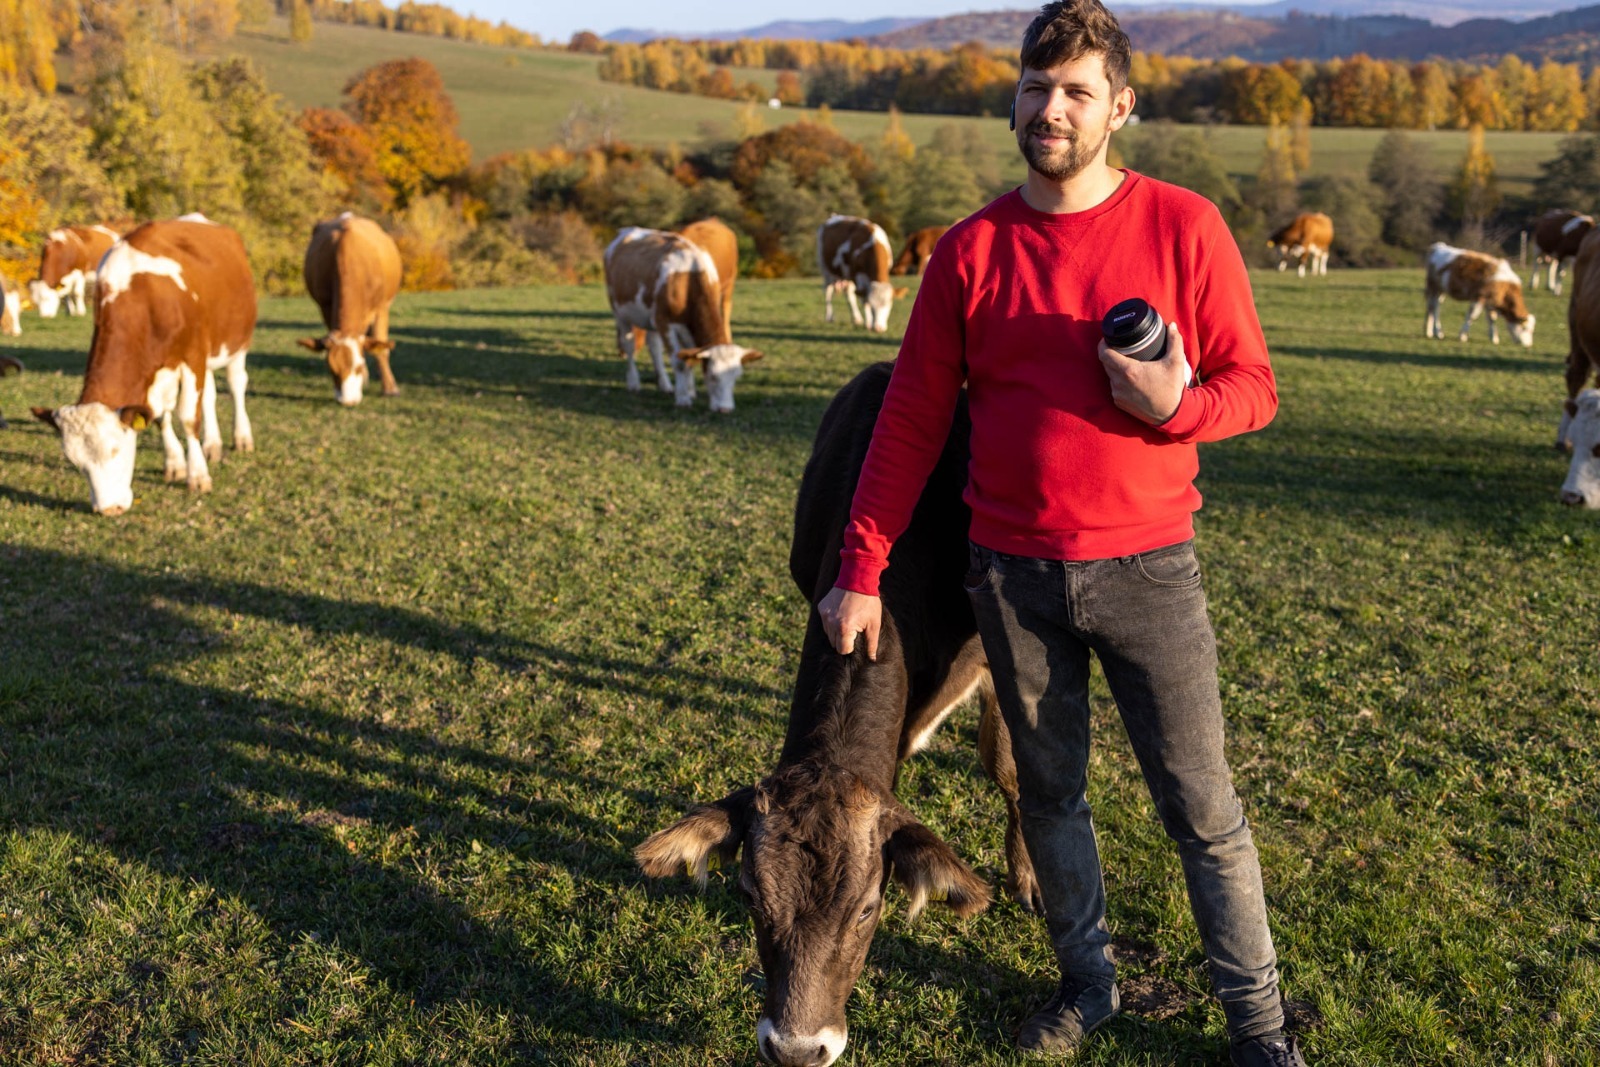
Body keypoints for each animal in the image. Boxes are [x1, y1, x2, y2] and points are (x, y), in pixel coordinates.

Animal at [30, 214, 252, 515]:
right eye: (76, 462)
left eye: (116, 449)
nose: (108, 509)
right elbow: (158, 416)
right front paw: (175, 464)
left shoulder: (192, 355)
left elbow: (188, 417)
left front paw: (198, 476)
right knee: (208, 396)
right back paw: (213, 444)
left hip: (235, 342)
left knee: (236, 384)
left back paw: (242, 437)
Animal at [297, 214, 403, 406]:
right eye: (332, 370)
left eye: (358, 367)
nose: (348, 401)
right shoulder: (325, 306)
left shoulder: (381, 308)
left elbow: (381, 348)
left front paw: (390, 388)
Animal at [604, 225, 768, 412]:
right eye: (713, 375)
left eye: (737, 376)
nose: (725, 409)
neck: (689, 277)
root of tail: (627, 230)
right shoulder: (666, 324)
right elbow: (680, 362)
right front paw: (683, 398)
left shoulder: (686, 327)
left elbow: (690, 359)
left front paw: (690, 391)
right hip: (620, 313)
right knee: (629, 347)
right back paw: (633, 383)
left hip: (651, 319)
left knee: (654, 347)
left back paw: (665, 384)